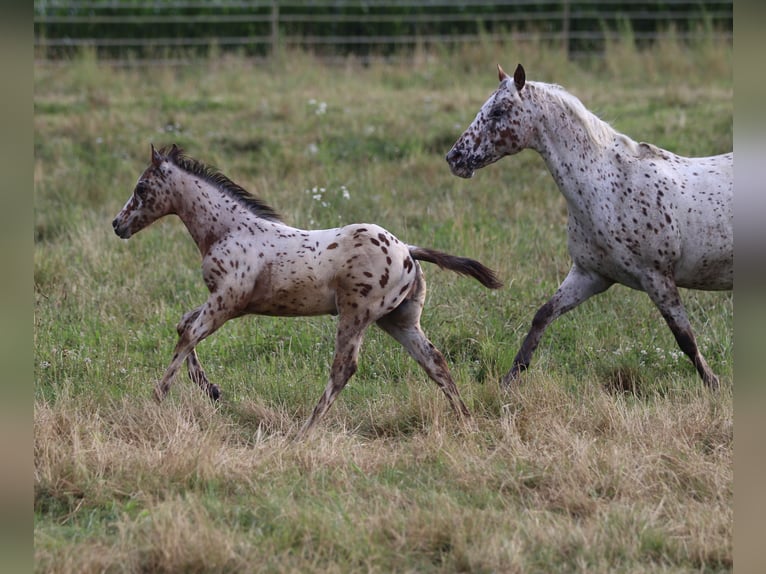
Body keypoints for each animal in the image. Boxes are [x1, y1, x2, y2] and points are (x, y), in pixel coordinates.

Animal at [111, 145, 500, 436]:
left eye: (142, 187)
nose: (117, 224)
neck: (228, 230)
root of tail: (408, 250)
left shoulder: (226, 300)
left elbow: (188, 333)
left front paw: (157, 398)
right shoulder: (226, 302)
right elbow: (183, 325)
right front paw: (212, 390)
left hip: (356, 314)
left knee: (344, 368)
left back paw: (304, 431)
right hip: (398, 320)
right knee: (434, 361)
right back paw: (466, 422)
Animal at [448, 64, 736, 392]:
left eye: (498, 110)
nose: (454, 157)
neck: (610, 187)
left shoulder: (657, 277)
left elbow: (685, 338)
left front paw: (714, 384)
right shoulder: (590, 275)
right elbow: (542, 316)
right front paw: (508, 381)